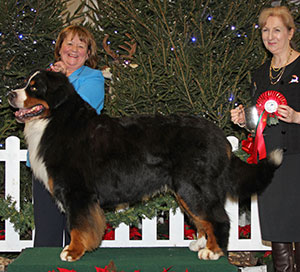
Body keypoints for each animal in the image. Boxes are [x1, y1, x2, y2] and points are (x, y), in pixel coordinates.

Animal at [8, 69, 282, 262]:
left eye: (35, 86)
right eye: (25, 83)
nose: (10, 94)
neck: (56, 120)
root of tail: (220, 136)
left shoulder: (78, 192)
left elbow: (77, 225)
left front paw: (72, 251)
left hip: (194, 187)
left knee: (218, 218)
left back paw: (212, 251)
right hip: (185, 190)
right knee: (203, 219)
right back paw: (200, 243)